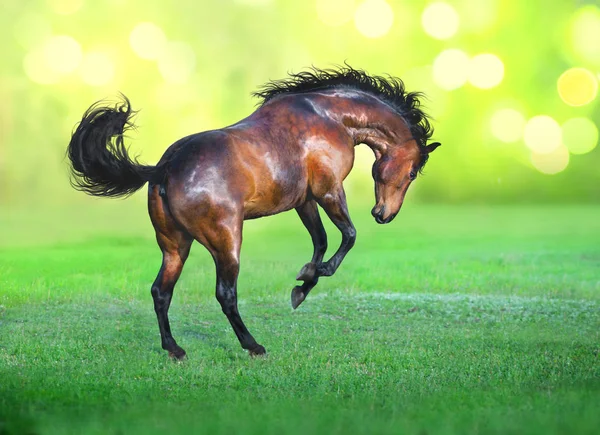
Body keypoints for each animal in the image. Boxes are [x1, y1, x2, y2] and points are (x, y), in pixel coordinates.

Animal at [68, 66, 440, 360]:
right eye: (411, 173)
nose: (384, 214)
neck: (329, 117)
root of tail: (165, 167)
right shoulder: (328, 189)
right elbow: (348, 235)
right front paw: (313, 277)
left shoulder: (304, 200)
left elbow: (320, 241)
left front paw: (303, 284)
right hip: (226, 242)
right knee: (225, 294)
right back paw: (253, 346)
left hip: (175, 246)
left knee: (161, 291)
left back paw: (175, 350)